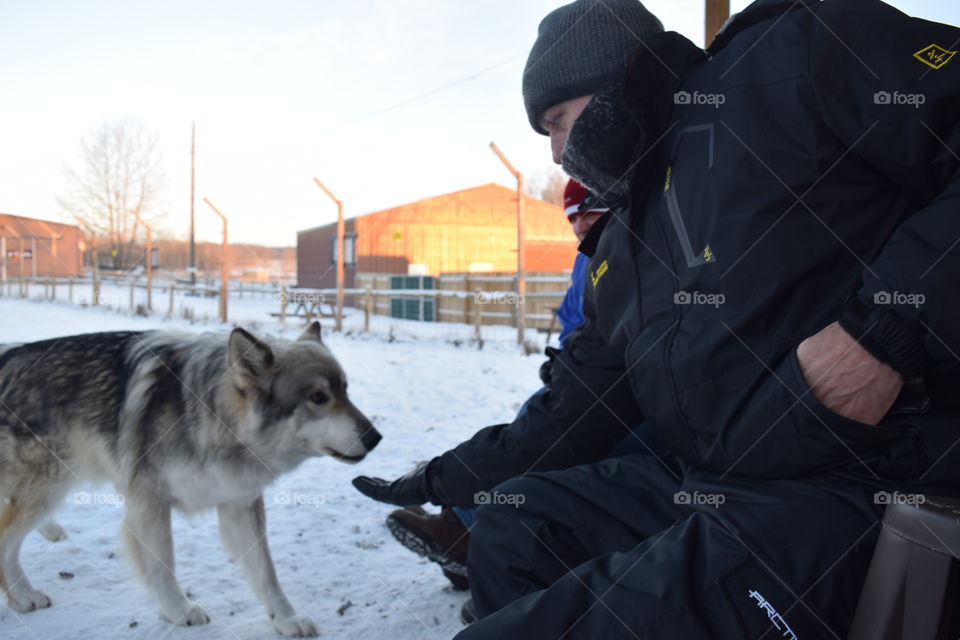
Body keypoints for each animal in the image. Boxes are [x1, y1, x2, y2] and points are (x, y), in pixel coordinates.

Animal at [0, 322, 380, 637]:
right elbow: (163, 565)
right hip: (49, 485)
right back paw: (24, 596)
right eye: (318, 398)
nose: (376, 438)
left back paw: (49, 535)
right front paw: (179, 611)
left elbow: (267, 575)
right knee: (6, 538)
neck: (215, 419)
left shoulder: (239, 505)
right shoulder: (150, 502)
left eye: (346, 391)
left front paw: (287, 620)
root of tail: (7, 356)